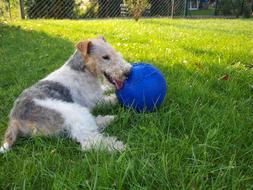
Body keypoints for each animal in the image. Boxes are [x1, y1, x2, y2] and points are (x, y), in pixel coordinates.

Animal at [0, 36, 132, 154]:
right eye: (105, 57)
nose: (128, 72)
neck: (82, 70)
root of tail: (14, 119)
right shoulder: (96, 100)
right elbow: (113, 98)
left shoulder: (98, 91)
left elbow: (106, 88)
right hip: (71, 111)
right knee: (88, 141)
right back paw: (118, 147)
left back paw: (107, 119)